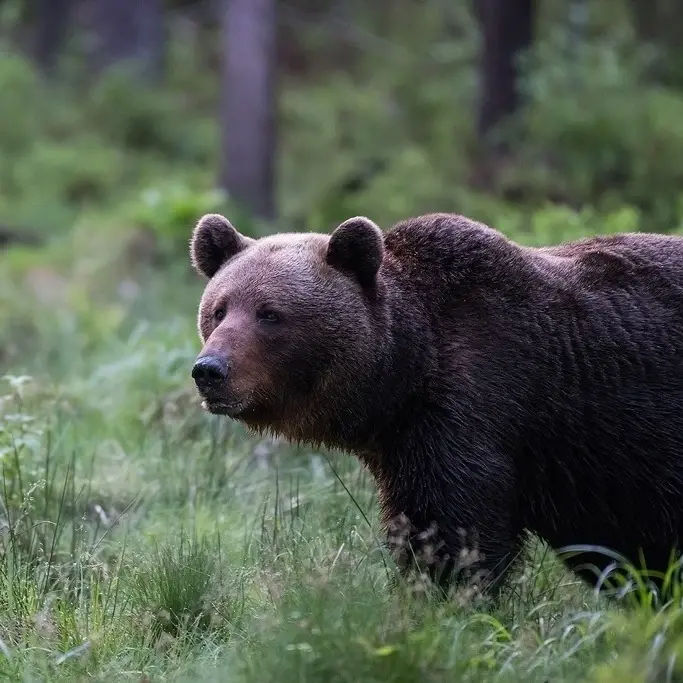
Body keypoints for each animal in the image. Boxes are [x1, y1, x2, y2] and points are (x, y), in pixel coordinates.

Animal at [190, 212, 683, 600]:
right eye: (219, 309)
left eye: (270, 313)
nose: (209, 370)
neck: (407, 372)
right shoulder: (405, 443)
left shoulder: (476, 404)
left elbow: (453, 528)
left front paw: (448, 598)